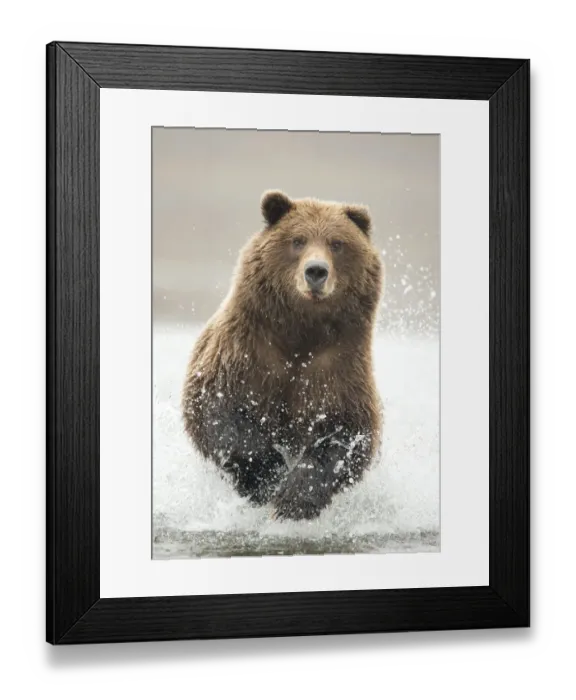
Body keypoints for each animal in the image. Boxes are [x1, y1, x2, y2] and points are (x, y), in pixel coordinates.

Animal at [181, 190, 384, 521]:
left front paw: (294, 499)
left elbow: (346, 434)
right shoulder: (246, 353)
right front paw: (267, 476)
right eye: (297, 240)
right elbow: (219, 409)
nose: (316, 271)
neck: (300, 331)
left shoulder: (338, 366)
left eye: (337, 243)